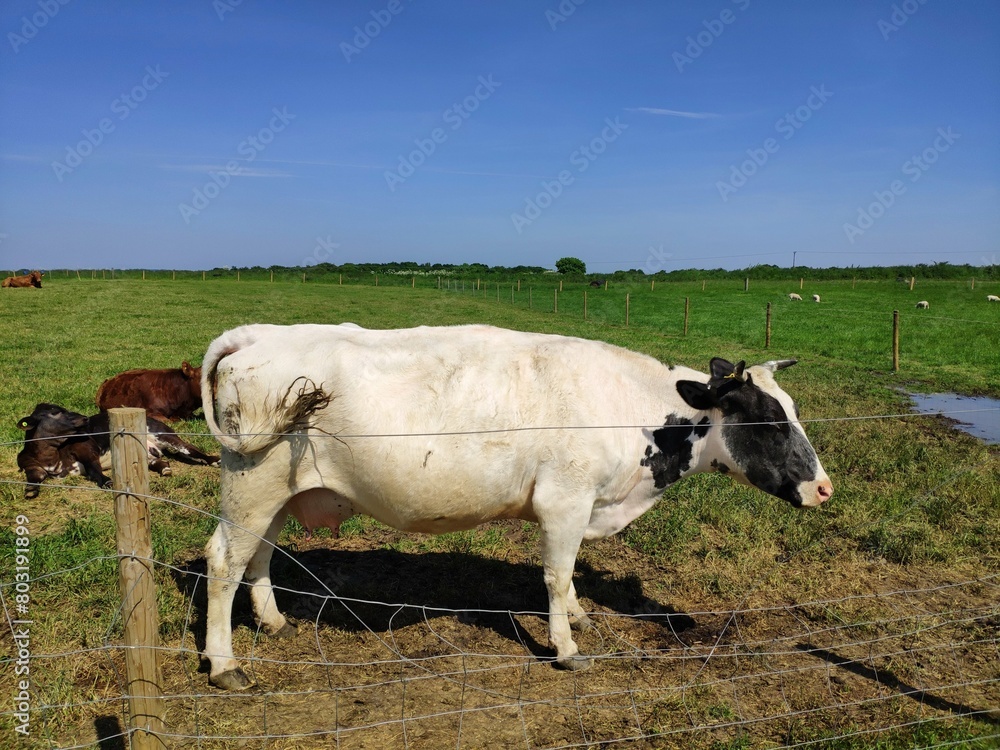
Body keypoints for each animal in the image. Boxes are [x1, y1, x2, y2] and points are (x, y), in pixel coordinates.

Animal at [15, 406, 220, 500]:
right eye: (55, 412)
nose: (85, 418)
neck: (52, 457)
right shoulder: (29, 464)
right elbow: (34, 476)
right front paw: (31, 490)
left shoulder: (86, 447)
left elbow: (94, 469)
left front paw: (107, 481)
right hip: (146, 453)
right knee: (160, 461)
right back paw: (165, 469)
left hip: (164, 433)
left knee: (190, 449)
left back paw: (213, 460)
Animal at [199, 326, 832, 692]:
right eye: (769, 421)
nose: (825, 489)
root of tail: (256, 336)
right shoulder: (565, 499)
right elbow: (554, 574)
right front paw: (567, 647)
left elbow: (567, 576)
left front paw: (578, 616)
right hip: (252, 483)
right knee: (224, 560)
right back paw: (225, 664)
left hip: (279, 490)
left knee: (259, 554)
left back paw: (273, 621)